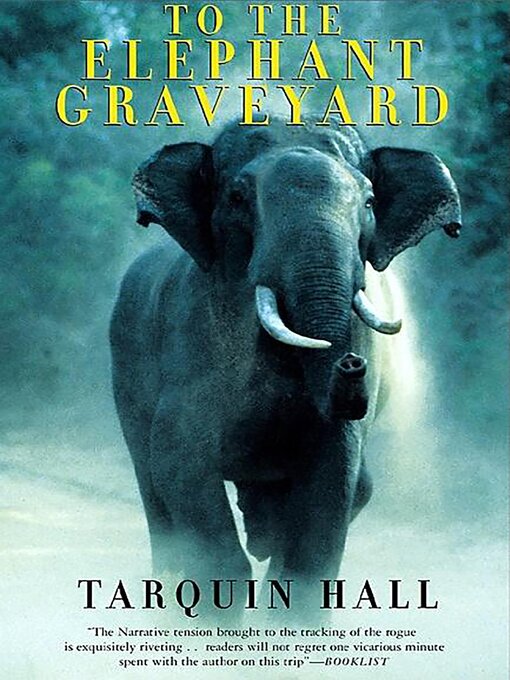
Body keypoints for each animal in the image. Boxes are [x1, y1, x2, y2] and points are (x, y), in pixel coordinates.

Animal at [110, 118, 461, 617]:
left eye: (369, 201)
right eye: (237, 197)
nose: (352, 363)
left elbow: (335, 476)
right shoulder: (190, 340)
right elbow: (179, 457)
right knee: (154, 486)